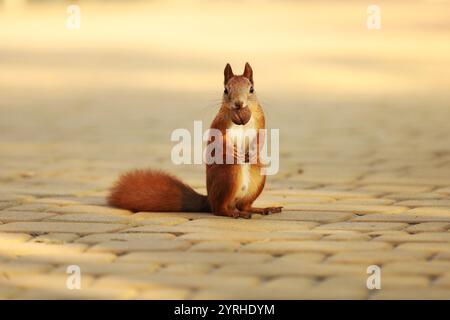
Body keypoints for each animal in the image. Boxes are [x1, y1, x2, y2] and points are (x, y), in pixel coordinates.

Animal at [108, 62, 282, 218]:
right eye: (226, 90)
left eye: (251, 89)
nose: (239, 104)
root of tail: (208, 200)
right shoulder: (220, 124)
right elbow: (220, 140)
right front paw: (232, 151)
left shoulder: (260, 121)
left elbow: (260, 136)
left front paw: (253, 150)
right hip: (228, 173)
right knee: (219, 209)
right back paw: (232, 212)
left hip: (258, 176)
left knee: (245, 205)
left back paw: (262, 209)